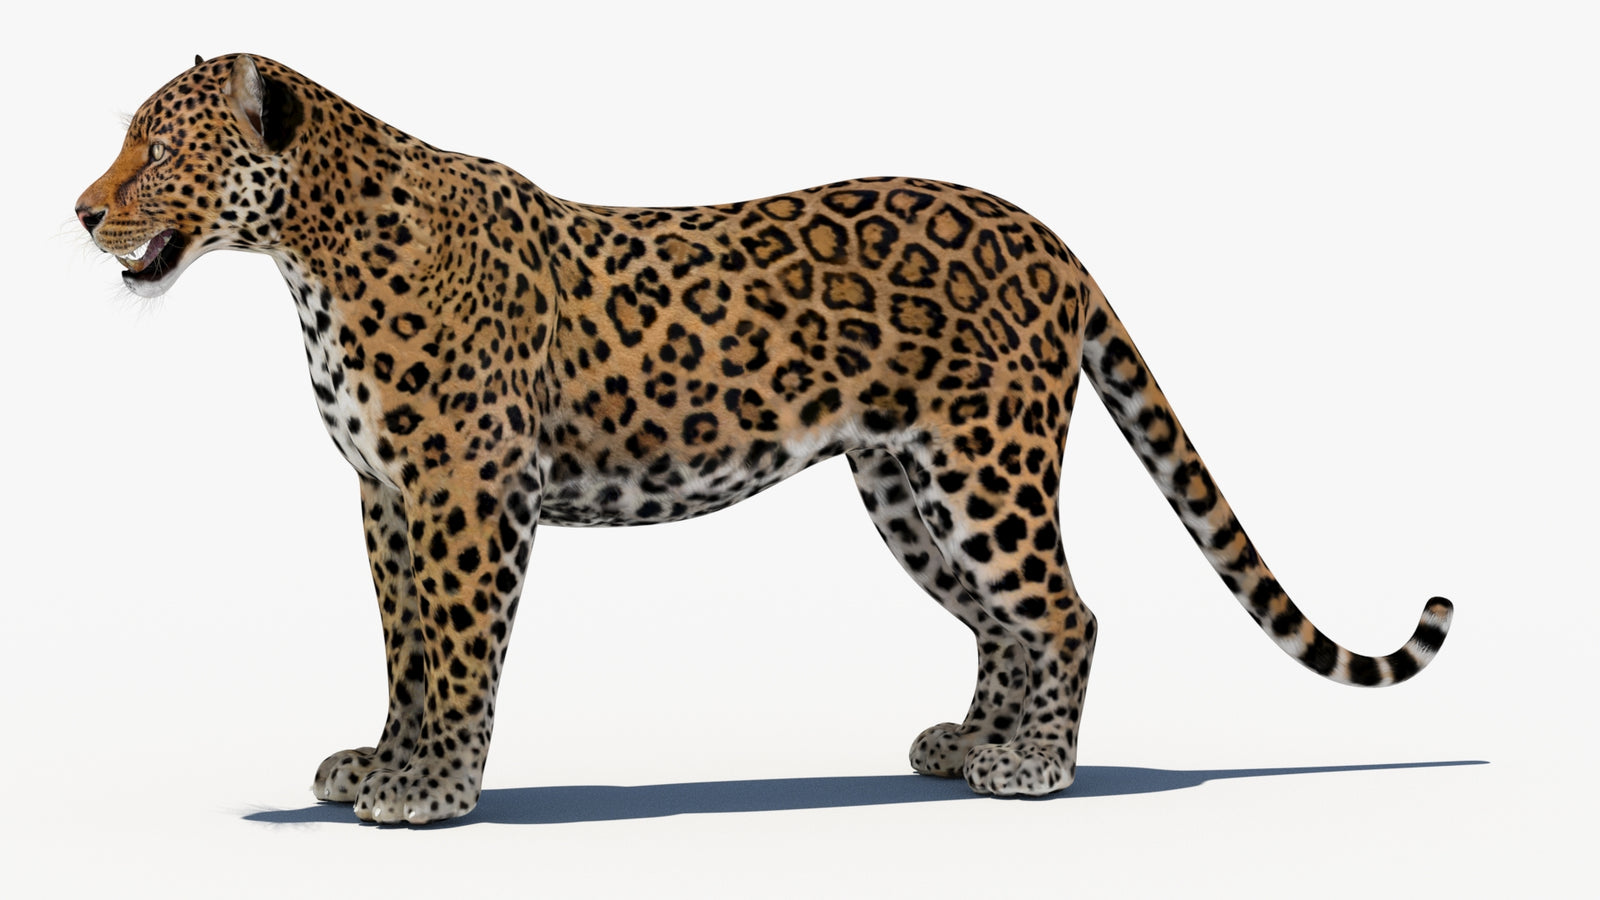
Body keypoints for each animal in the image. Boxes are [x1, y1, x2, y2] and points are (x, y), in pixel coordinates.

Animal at [76, 54, 1453, 825]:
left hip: (985, 466)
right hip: (905, 486)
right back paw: (973, 747)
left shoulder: (467, 490)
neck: (308, 254)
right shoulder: (385, 494)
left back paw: (1034, 770)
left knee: (1064, 610)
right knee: (1003, 621)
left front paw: (431, 793)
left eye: (160, 144)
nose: (82, 211)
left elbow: (459, 648)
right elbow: (405, 646)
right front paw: (381, 762)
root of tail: (1045, 232)